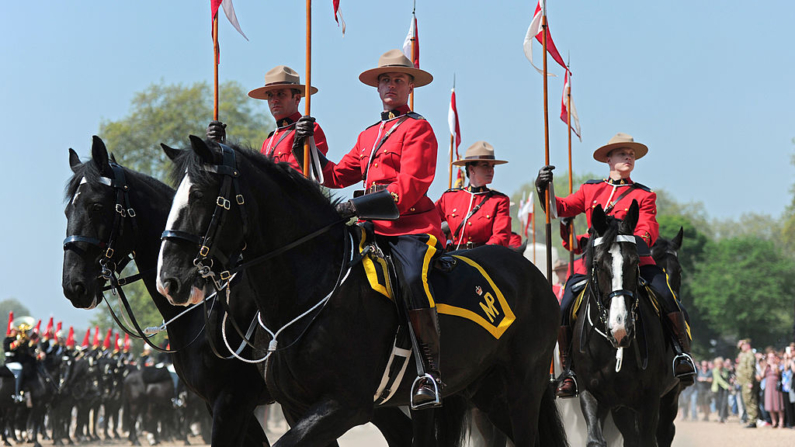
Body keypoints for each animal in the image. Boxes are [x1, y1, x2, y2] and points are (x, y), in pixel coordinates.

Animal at [155, 137, 564, 447]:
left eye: (200, 195)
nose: (169, 280)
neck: (310, 288)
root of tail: (532, 271)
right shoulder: (293, 406)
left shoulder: (344, 405)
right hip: (480, 391)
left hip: (521, 389)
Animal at [572, 201, 684, 446]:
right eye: (597, 264)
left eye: (635, 262)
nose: (620, 329)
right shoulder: (591, 393)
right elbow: (595, 439)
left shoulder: (649, 399)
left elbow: (647, 438)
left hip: (669, 397)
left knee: (664, 432)